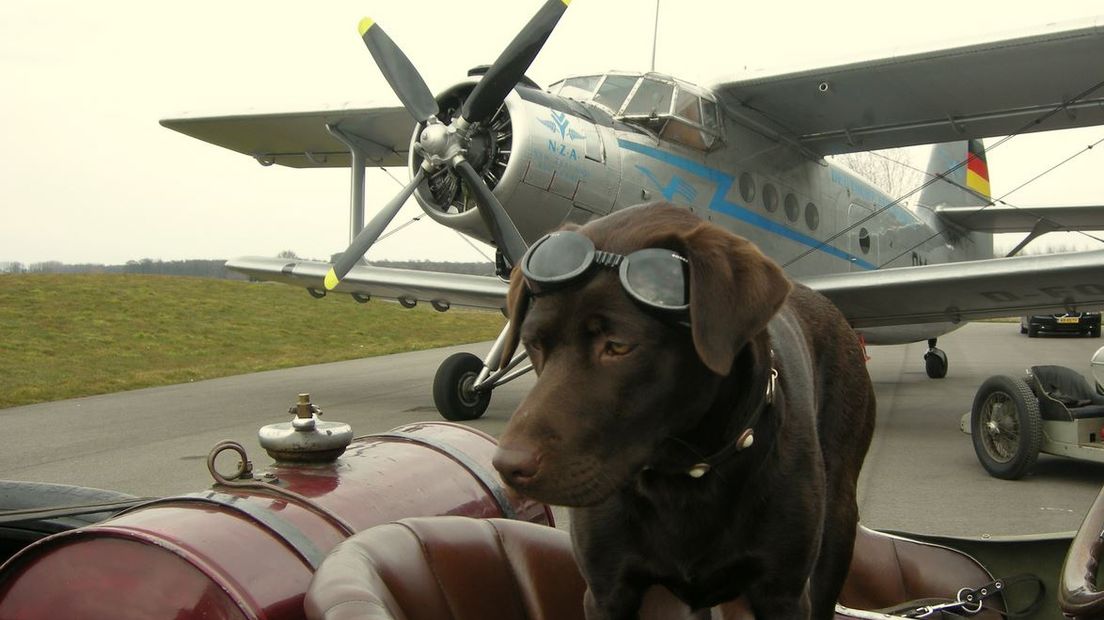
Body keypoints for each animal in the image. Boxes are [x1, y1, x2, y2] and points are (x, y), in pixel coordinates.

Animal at [496, 202, 874, 617]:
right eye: (533, 344)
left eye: (617, 346)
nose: (507, 467)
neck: (683, 475)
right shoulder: (606, 593)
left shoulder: (784, 595)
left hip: (837, 523)